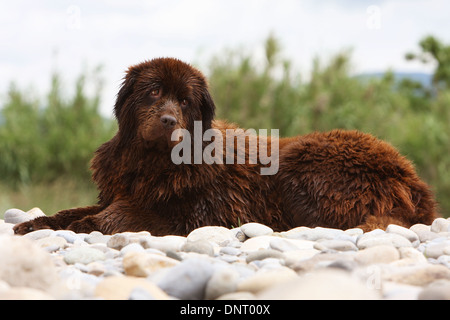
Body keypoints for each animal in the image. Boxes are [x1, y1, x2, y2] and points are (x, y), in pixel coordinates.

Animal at [13, 58, 436, 236]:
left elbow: (118, 215)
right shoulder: (119, 190)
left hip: (302, 163)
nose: (168, 121)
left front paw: (88, 226)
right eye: (154, 92)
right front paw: (38, 223)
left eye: (185, 101)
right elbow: (74, 210)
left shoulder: (196, 214)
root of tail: (415, 181)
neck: (151, 164)